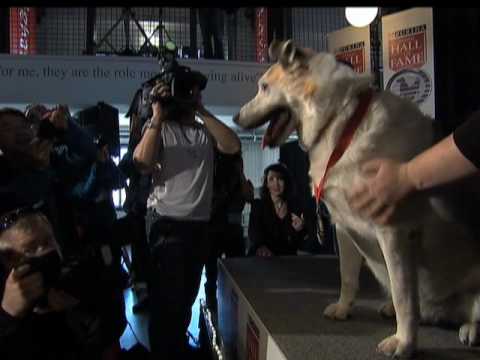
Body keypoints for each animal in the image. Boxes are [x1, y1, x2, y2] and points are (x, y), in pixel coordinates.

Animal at [234, 40, 480, 358]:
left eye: (264, 87)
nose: (236, 118)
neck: (340, 123)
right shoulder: (343, 227)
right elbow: (348, 277)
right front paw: (343, 309)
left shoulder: (393, 231)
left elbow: (403, 296)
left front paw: (405, 343)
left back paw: (469, 328)